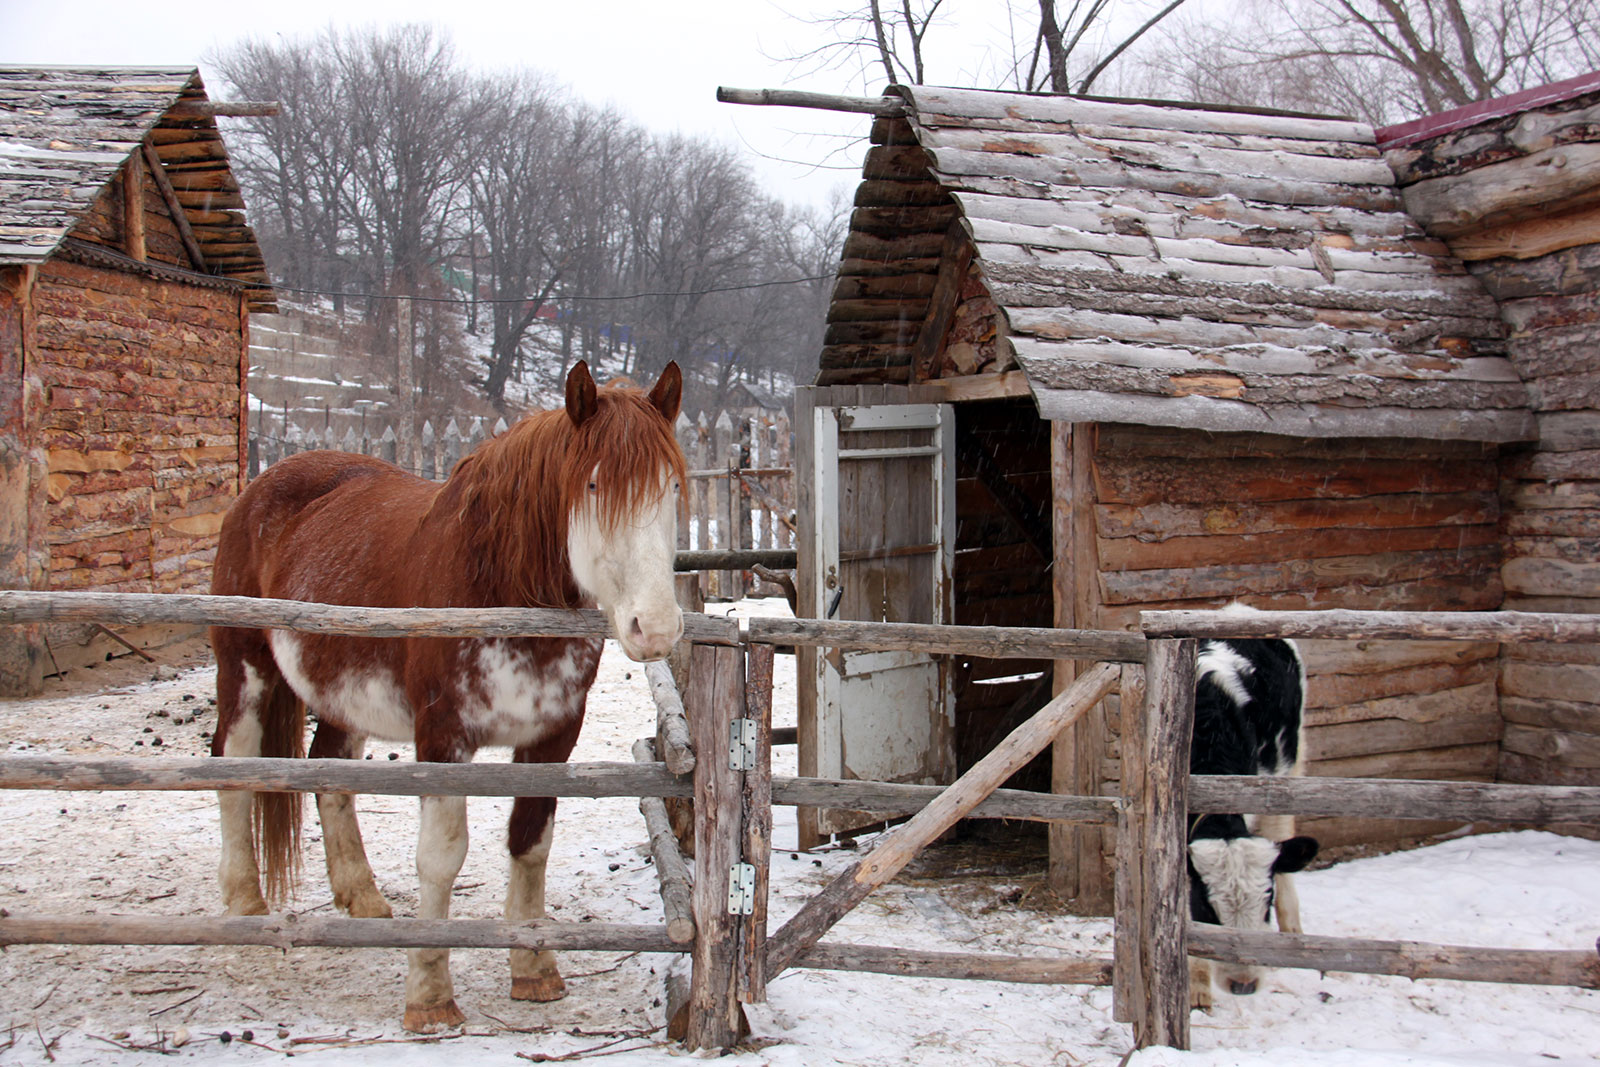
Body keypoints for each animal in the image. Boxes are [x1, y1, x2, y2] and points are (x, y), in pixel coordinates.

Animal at [209, 361, 684, 1036]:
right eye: (594, 484)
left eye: (671, 486)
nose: (657, 628)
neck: (496, 585)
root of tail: (260, 486)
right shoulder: (442, 736)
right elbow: (440, 857)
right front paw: (429, 995)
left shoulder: (553, 735)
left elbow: (530, 841)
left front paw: (534, 969)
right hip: (245, 671)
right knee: (234, 768)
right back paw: (247, 905)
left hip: (341, 693)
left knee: (330, 773)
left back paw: (364, 899)